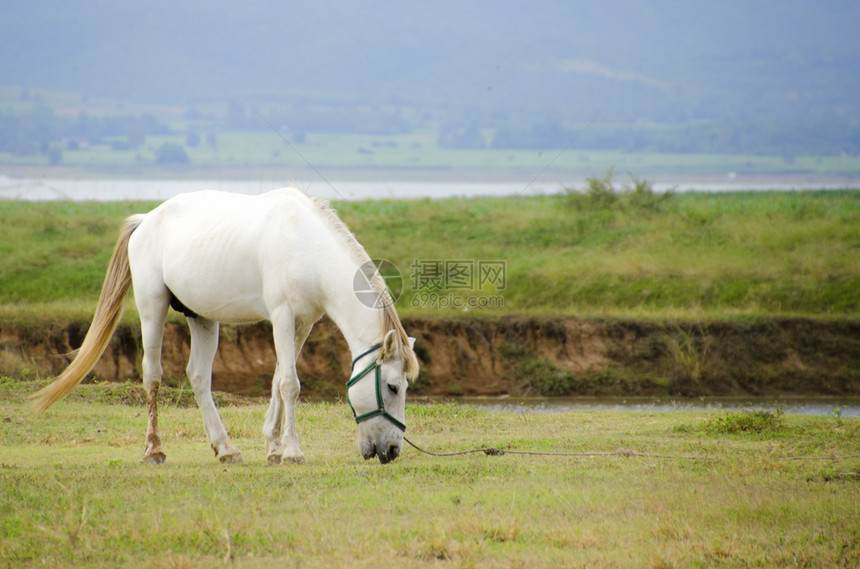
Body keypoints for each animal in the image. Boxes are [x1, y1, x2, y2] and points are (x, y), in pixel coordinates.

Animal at [32, 189, 420, 464]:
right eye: (393, 387)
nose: (391, 450)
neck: (304, 245)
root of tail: (146, 221)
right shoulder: (281, 318)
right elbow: (291, 384)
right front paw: (292, 451)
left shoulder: (303, 324)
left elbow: (277, 380)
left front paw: (273, 448)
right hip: (152, 307)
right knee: (153, 375)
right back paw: (154, 450)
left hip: (202, 318)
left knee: (198, 377)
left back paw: (226, 449)